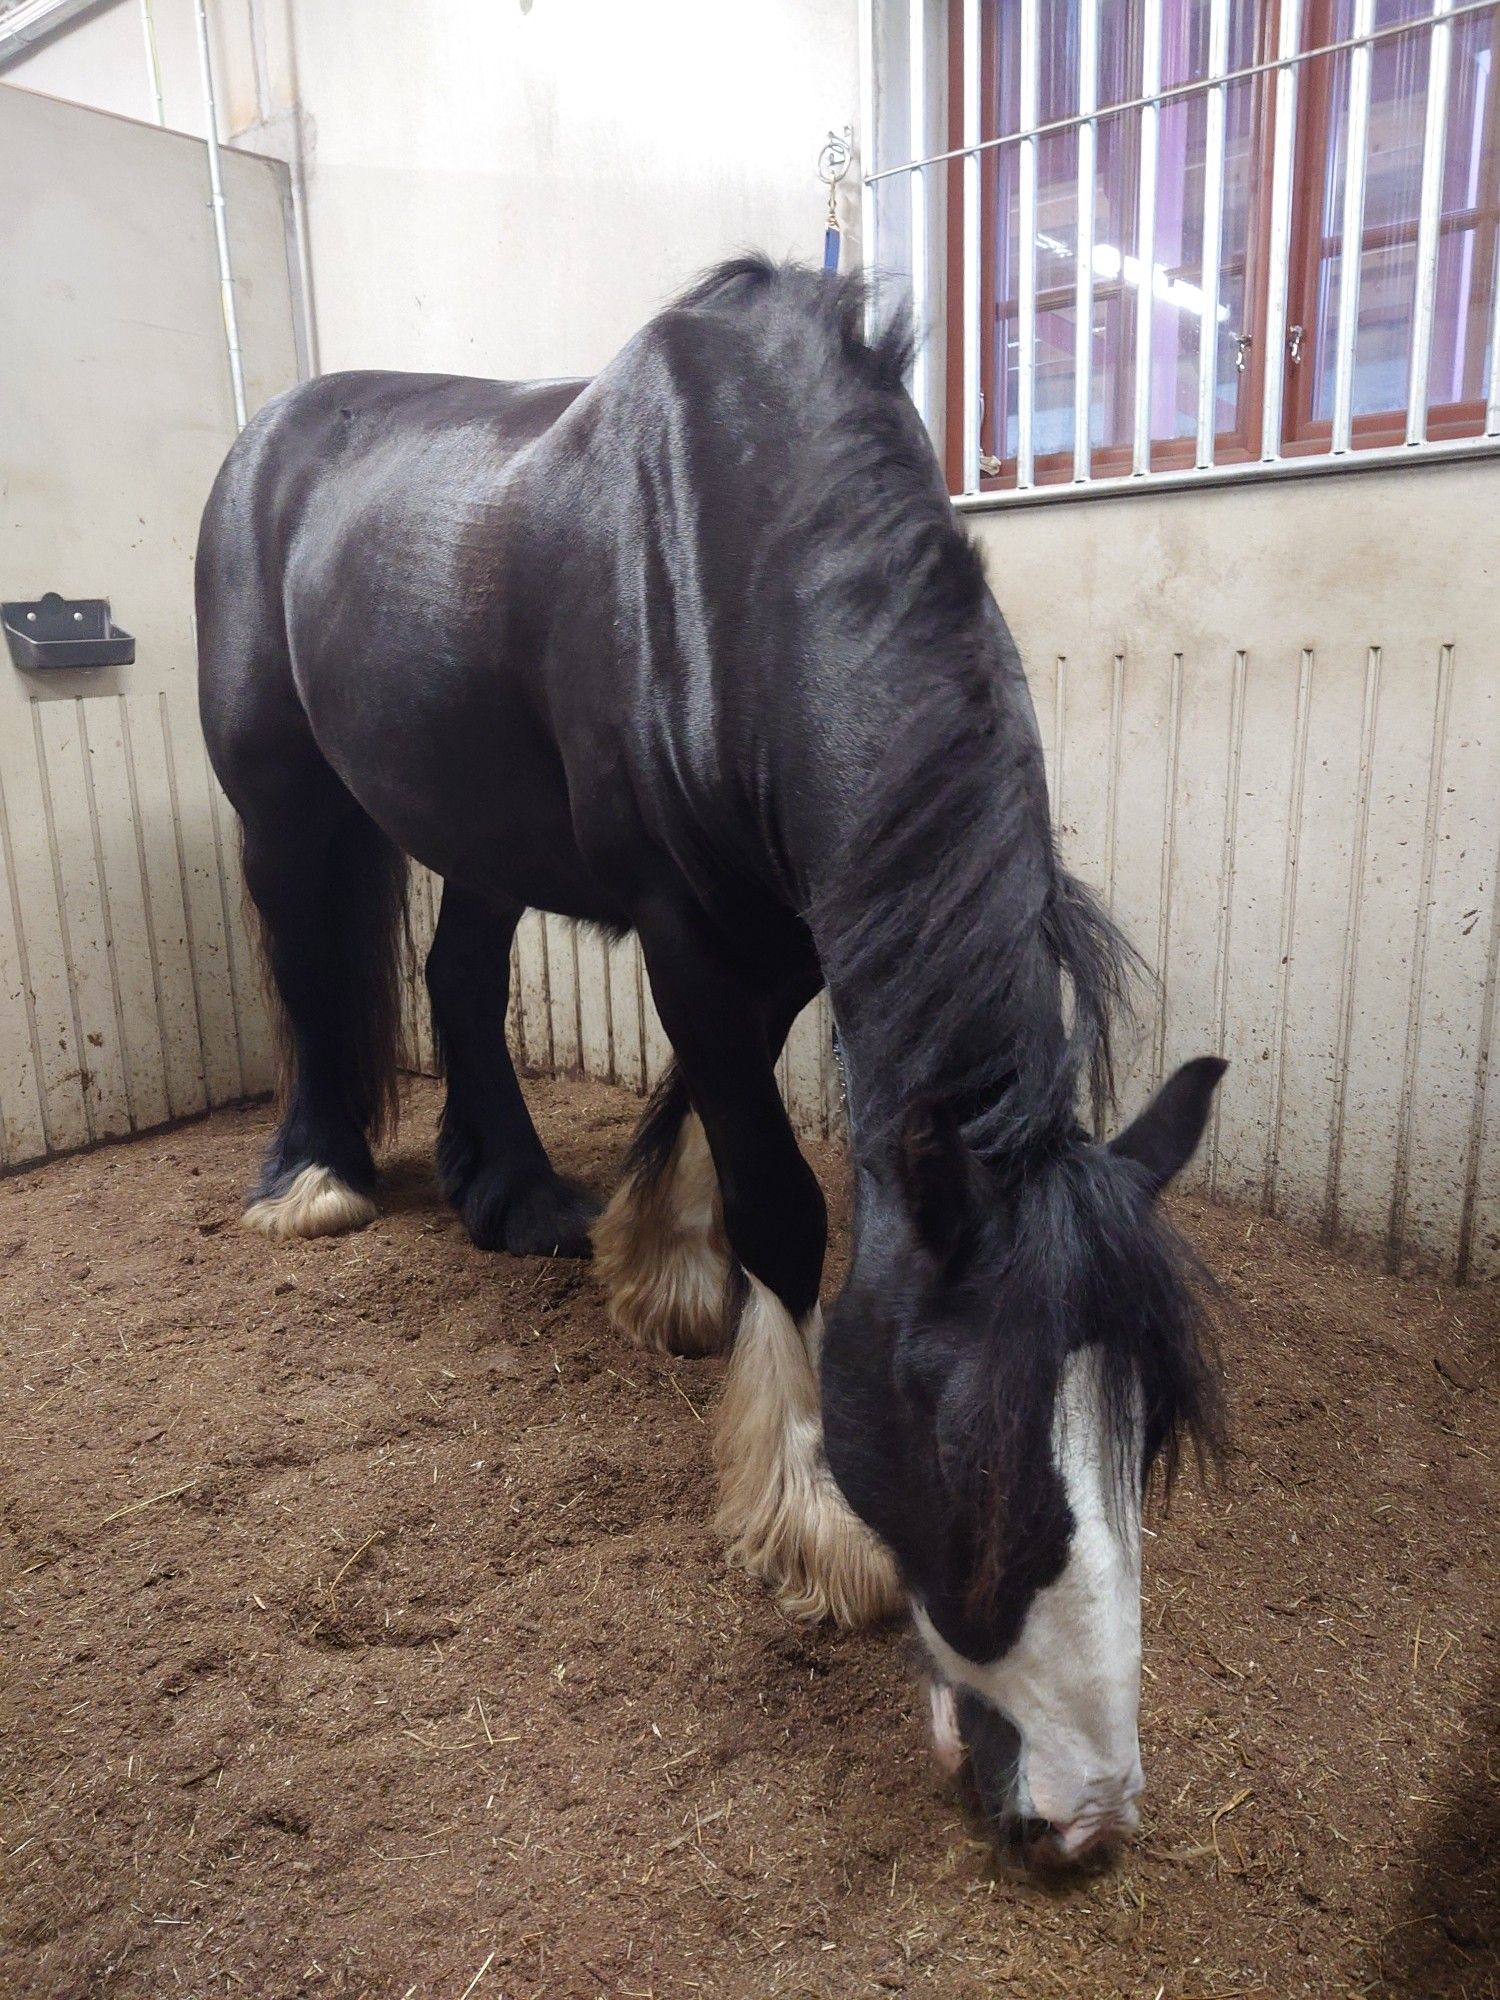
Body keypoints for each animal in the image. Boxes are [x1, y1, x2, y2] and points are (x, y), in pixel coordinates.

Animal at [200, 258, 1224, 1864]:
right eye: (956, 1440)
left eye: (1137, 1438)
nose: (1086, 1811)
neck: (736, 558)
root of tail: (272, 435)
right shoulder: (685, 925)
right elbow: (782, 1202)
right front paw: (807, 1508)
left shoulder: (784, 924)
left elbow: (716, 1102)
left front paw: (660, 1265)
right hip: (277, 786)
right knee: (311, 969)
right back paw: (314, 1177)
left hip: (478, 825)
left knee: (460, 974)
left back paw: (517, 1196)